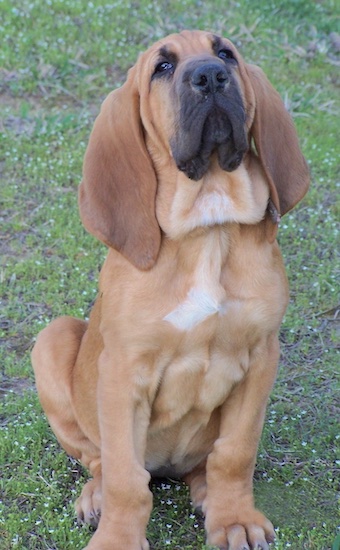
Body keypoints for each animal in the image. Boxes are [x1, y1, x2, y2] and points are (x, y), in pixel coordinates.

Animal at [31, 29, 308, 550]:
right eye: (162, 67)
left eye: (225, 54)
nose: (211, 76)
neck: (208, 226)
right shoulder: (123, 373)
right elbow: (125, 477)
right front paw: (118, 537)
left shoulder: (262, 356)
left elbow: (235, 453)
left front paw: (234, 519)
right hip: (52, 339)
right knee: (100, 459)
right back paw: (95, 498)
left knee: (205, 462)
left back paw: (205, 492)